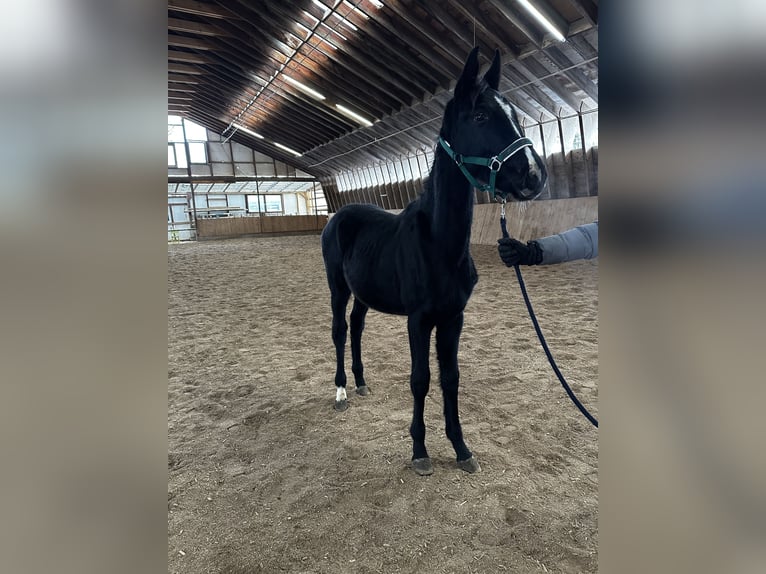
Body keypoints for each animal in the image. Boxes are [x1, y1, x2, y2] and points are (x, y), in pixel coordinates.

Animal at [320, 48, 548, 476]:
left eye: (515, 112)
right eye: (480, 116)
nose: (534, 174)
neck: (440, 245)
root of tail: (339, 215)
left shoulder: (453, 318)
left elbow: (450, 378)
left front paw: (461, 448)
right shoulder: (419, 319)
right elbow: (420, 379)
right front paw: (419, 451)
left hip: (364, 293)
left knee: (357, 327)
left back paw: (360, 382)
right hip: (337, 288)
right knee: (340, 331)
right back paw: (341, 390)